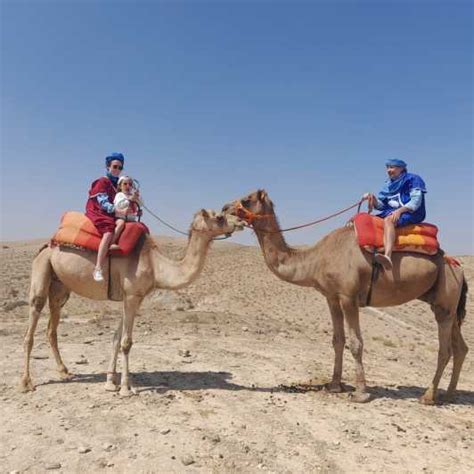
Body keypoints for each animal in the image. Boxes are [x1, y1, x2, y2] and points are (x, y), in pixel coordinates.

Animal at [20, 210, 243, 396]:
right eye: (219, 216)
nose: (240, 221)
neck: (156, 266)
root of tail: (47, 245)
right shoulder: (132, 296)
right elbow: (126, 343)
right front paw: (126, 388)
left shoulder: (132, 297)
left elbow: (116, 338)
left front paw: (111, 382)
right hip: (41, 268)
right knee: (32, 323)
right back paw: (26, 383)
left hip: (60, 287)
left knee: (52, 327)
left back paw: (65, 371)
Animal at [224, 191, 468, 406]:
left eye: (247, 199)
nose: (225, 208)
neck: (317, 259)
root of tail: (458, 267)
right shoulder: (332, 297)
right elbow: (337, 340)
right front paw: (334, 385)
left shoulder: (349, 297)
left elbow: (356, 343)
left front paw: (361, 393)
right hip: (445, 303)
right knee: (460, 348)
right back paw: (449, 395)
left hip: (445, 297)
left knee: (445, 349)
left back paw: (428, 396)